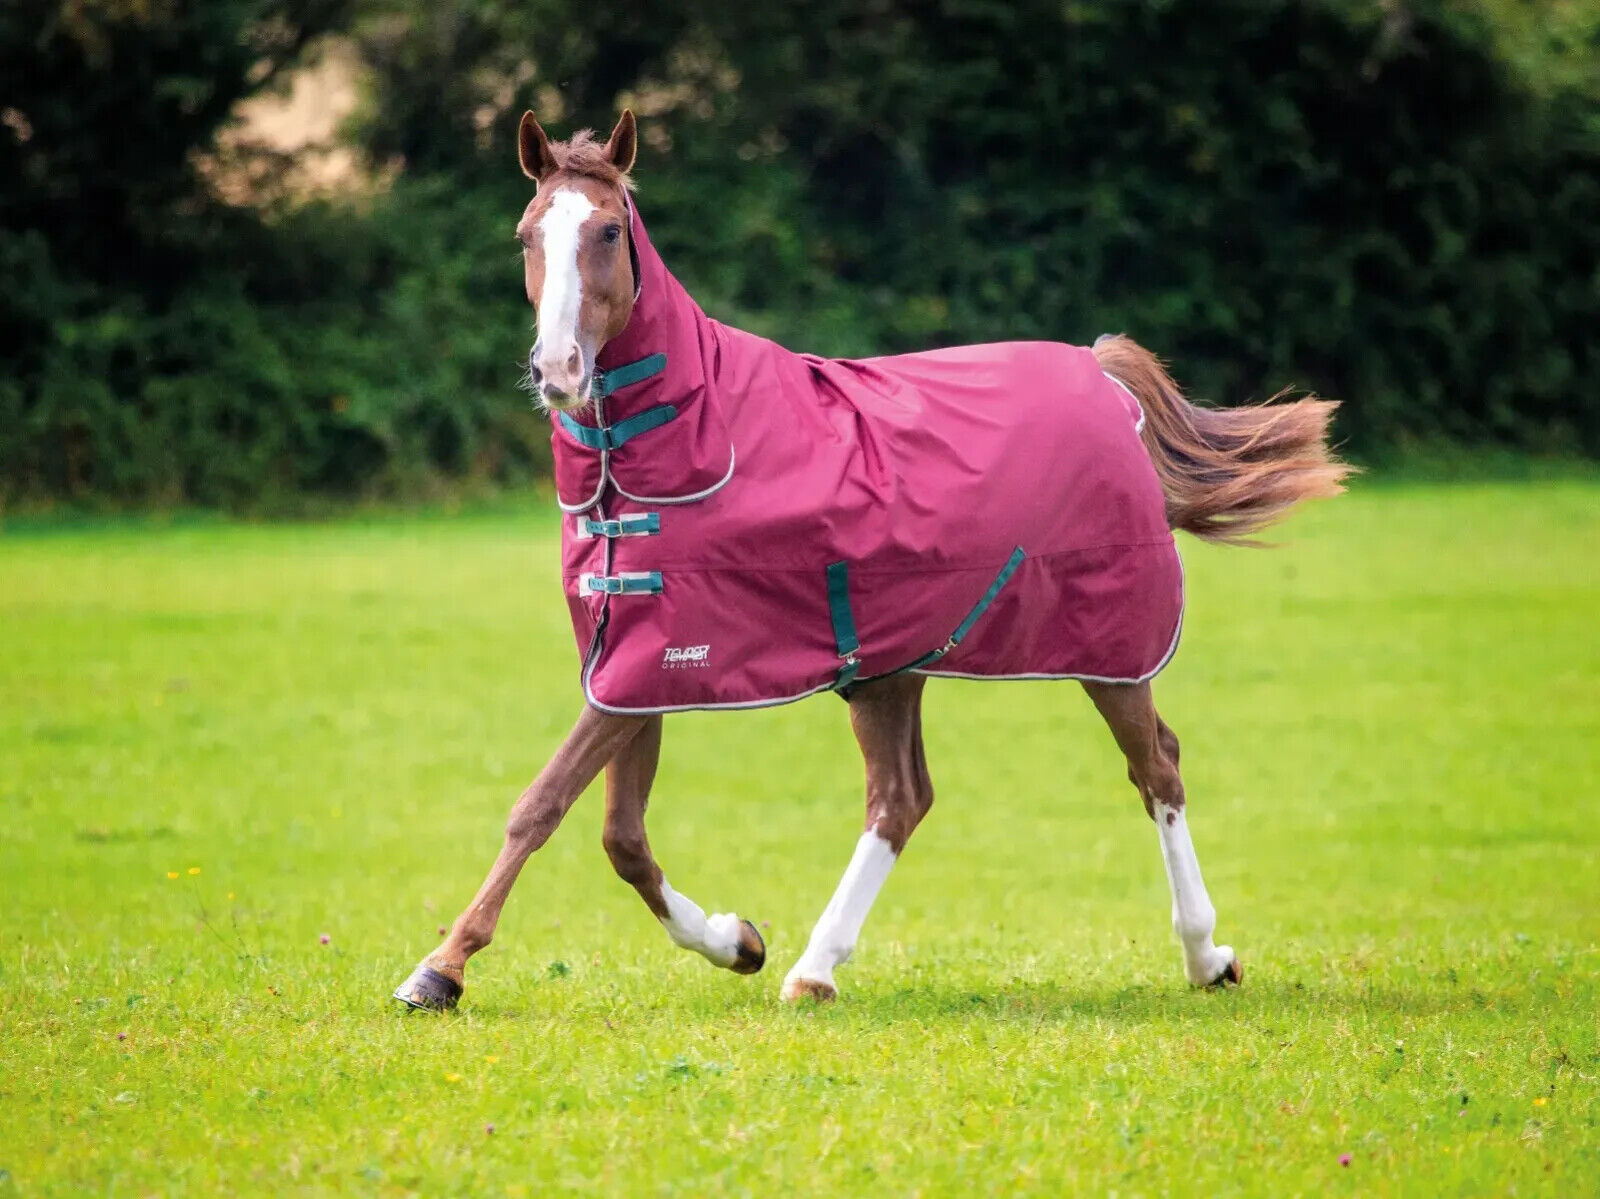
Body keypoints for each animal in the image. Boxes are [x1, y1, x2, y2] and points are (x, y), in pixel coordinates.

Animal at [393, 109, 1349, 1011]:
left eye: (606, 230)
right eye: (526, 232)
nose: (558, 369)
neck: (684, 443)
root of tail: (1103, 375)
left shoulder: (652, 660)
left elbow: (542, 805)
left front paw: (439, 968)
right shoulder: (634, 659)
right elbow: (621, 837)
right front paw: (738, 940)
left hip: (1109, 651)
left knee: (1157, 767)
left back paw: (1206, 955)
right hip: (894, 667)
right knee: (902, 797)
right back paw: (813, 968)